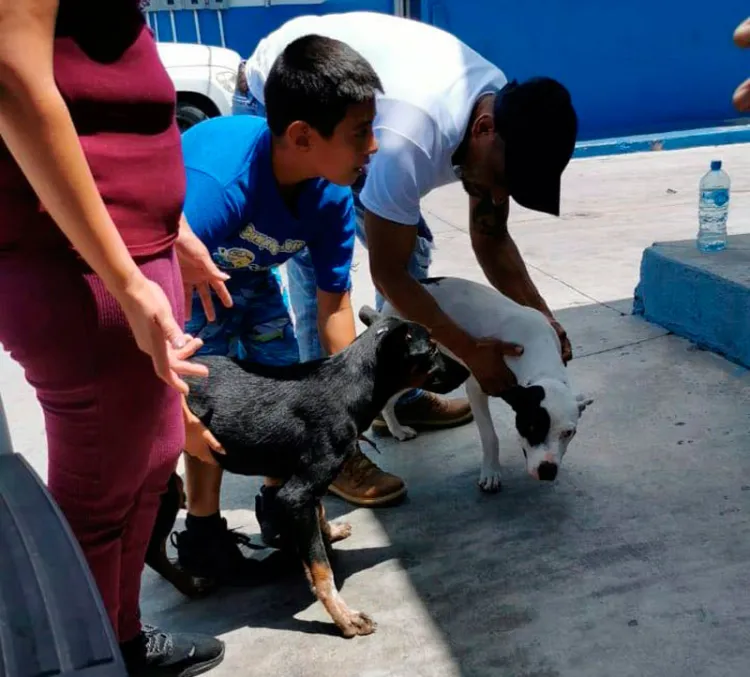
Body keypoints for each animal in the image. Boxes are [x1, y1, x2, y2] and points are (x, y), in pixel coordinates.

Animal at [184, 312, 468, 640]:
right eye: (432, 349)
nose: (467, 371)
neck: (350, 385)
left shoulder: (294, 486)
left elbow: (318, 512)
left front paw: (328, 533)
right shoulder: (297, 492)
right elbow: (321, 570)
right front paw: (345, 618)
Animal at [368, 274, 596, 492]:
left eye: (568, 433)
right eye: (531, 426)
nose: (548, 471)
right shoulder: (479, 384)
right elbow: (490, 437)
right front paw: (491, 473)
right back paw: (397, 430)